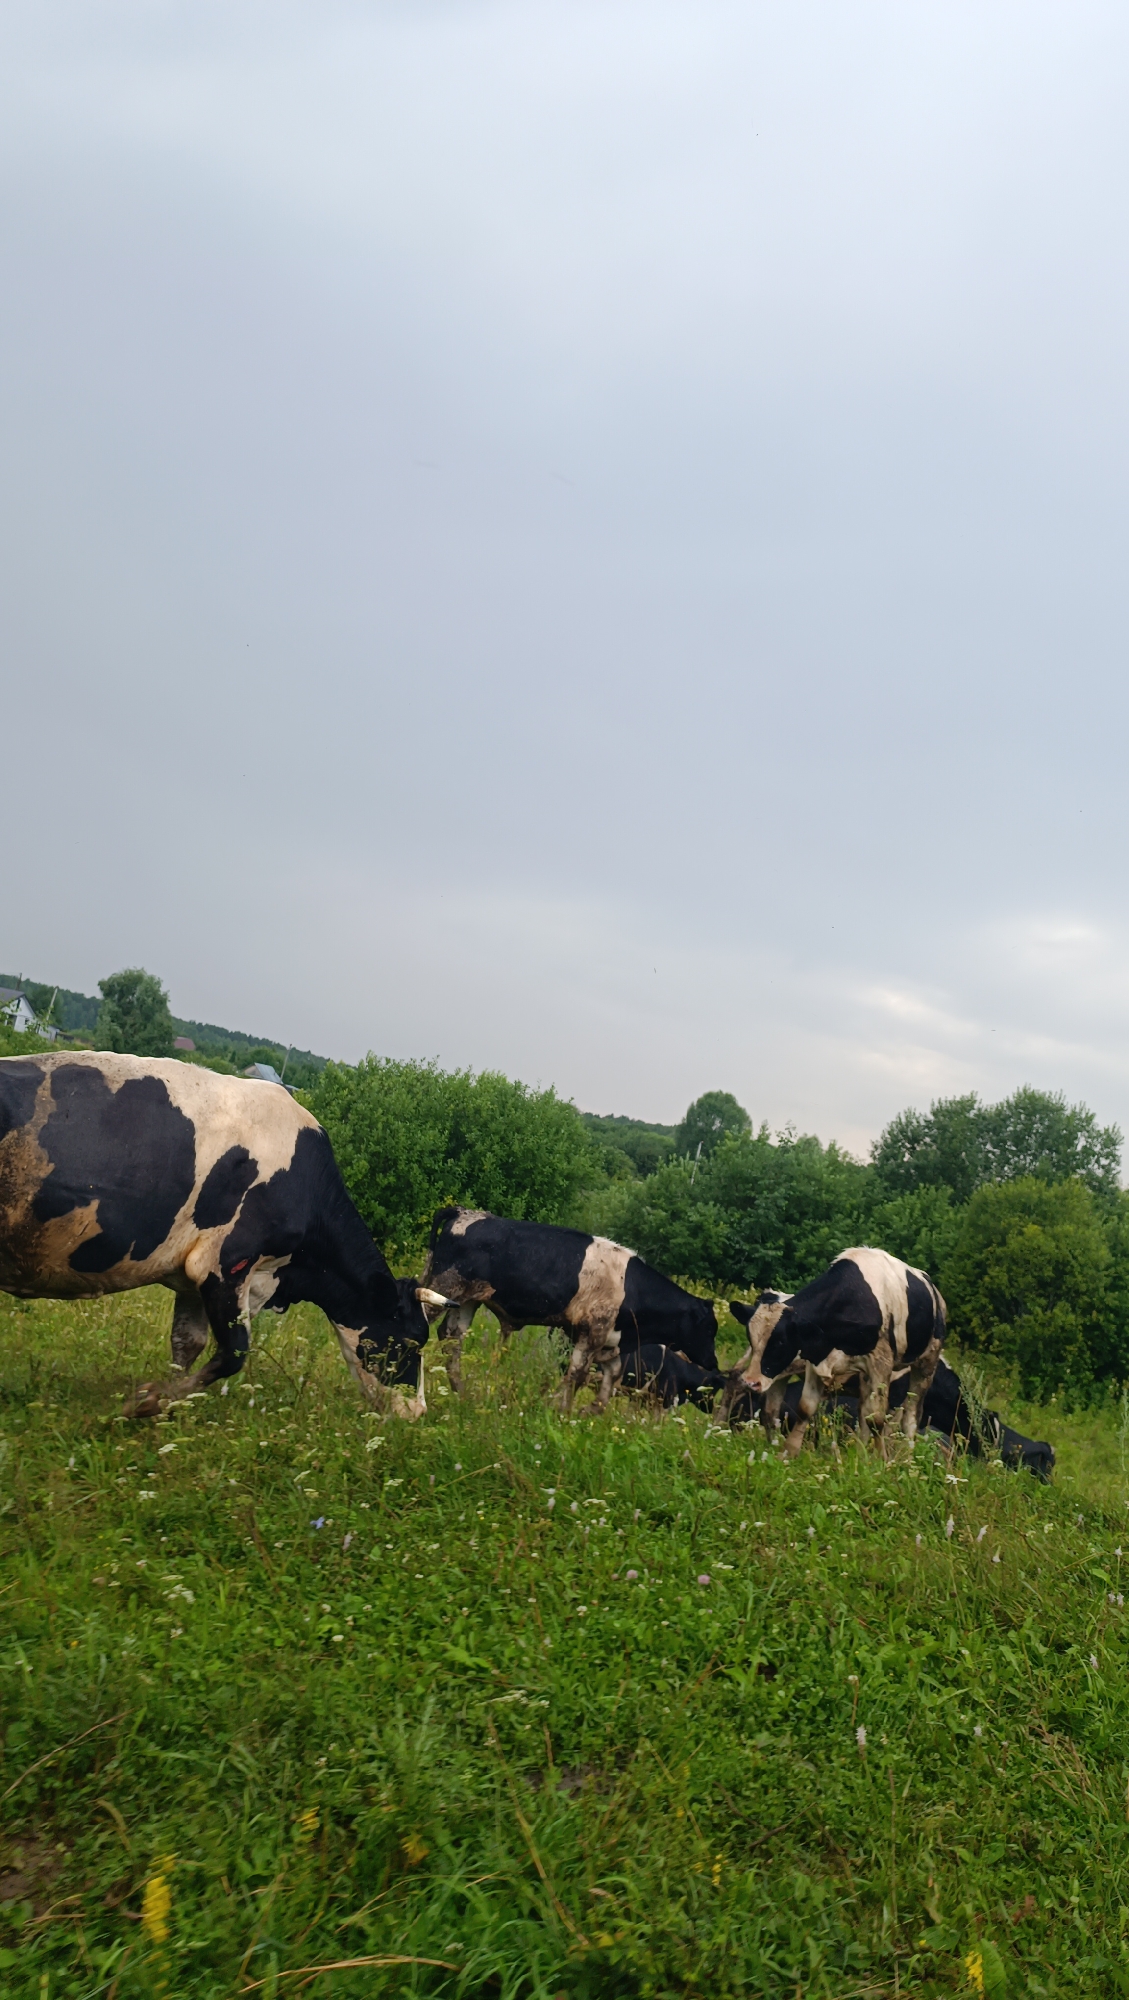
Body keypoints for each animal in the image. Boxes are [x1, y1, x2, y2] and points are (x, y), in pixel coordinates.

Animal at [0, 1052, 452, 1419]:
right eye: (413, 1342)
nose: (418, 1413)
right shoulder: (226, 1263)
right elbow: (234, 1352)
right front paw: (144, 1403)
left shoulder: (192, 1273)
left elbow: (187, 1343)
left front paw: (162, 1405)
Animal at [422, 1206, 720, 1411]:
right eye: (709, 1328)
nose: (714, 1363)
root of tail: (463, 1212)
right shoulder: (591, 1334)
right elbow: (577, 1376)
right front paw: (558, 1410)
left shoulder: (607, 1340)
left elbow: (610, 1377)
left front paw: (589, 1412)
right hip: (444, 1287)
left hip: (467, 1301)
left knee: (452, 1339)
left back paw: (460, 1392)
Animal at [719, 1247, 946, 1456]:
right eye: (750, 1337)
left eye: (781, 1342)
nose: (751, 1382)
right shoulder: (816, 1358)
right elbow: (806, 1408)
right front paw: (788, 1453)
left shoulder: (881, 1364)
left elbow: (878, 1420)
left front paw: (881, 1461)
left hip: (926, 1364)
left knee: (911, 1415)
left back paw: (905, 1457)